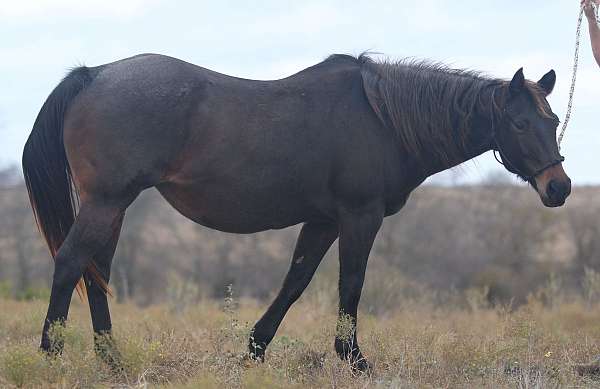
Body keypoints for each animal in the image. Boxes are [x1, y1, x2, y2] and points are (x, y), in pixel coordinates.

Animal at [22, 53, 572, 372]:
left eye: (553, 120)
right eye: (519, 124)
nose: (560, 187)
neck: (383, 120)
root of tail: (94, 76)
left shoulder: (323, 220)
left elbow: (295, 282)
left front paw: (254, 351)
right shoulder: (359, 216)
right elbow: (351, 284)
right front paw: (355, 361)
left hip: (113, 206)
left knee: (96, 271)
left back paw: (111, 361)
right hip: (107, 201)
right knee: (71, 263)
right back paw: (51, 357)